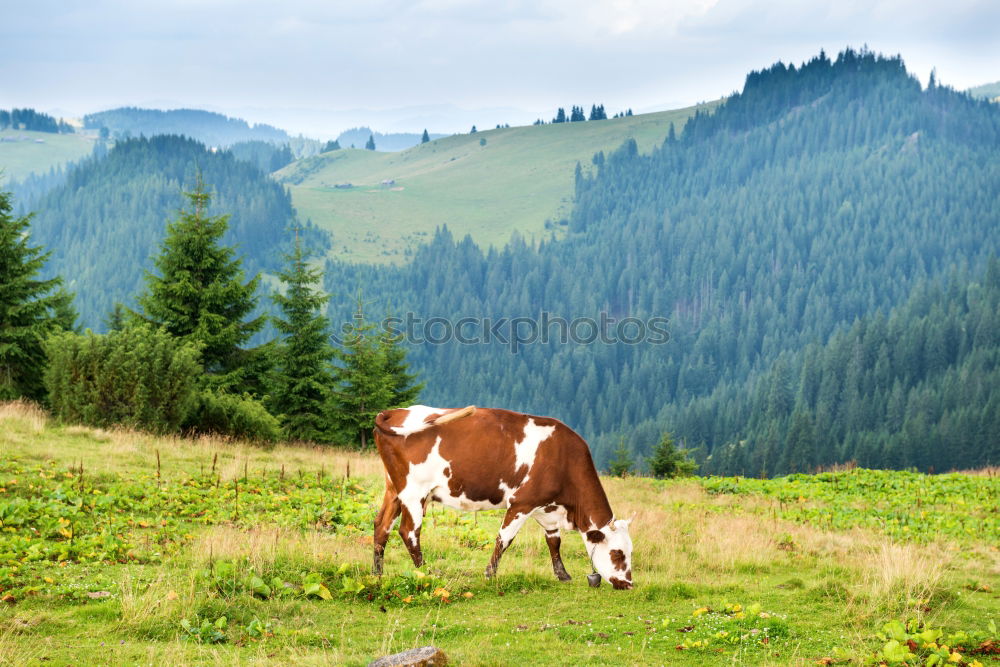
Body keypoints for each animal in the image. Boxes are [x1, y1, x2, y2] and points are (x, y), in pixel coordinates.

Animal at [372, 408, 636, 588]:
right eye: (617, 553)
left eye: (630, 552)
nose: (628, 584)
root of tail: (395, 412)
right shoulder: (522, 502)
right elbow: (504, 539)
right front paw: (490, 573)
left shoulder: (546, 508)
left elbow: (554, 541)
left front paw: (562, 575)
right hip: (414, 492)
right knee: (409, 532)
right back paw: (425, 572)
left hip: (393, 490)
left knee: (381, 526)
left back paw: (377, 573)